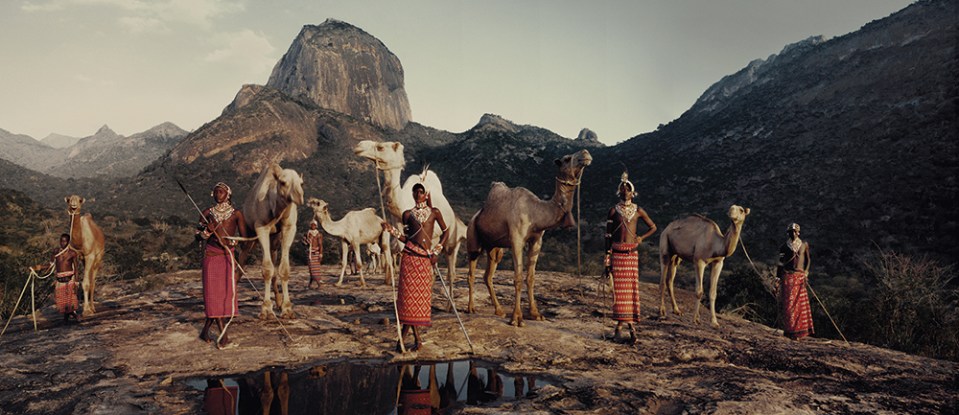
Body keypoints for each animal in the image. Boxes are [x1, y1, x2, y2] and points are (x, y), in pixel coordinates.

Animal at [240, 162, 304, 318]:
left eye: (301, 183)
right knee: (243, 255)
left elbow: (284, 268)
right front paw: (266, 310)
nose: (299, 197)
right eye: (283, 182)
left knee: (274, 255)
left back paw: (279, 302)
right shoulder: (261, 227)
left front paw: (287, 309)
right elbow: (267, 269)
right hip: (249, 231)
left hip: (275, 238)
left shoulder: (289, 227)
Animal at [354, 140, 470, 286]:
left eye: (380, 147)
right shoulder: (399, 224)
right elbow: (403, 246)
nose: (359, 146)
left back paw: (450, 279)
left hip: (450, 231)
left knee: (450, 254)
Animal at [466, 150, 592, 328]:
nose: (585, 154)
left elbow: (531, 278)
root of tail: (476, 216)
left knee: (488, 275)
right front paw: (517, 318)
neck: (536, 212)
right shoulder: (517, 239)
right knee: (471, 272)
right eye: (567, 158)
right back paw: (471, 308)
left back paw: (499, 310)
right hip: (473, 238)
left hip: (494, 247)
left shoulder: (537, 240)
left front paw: (536, 314)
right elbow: (518, 277)